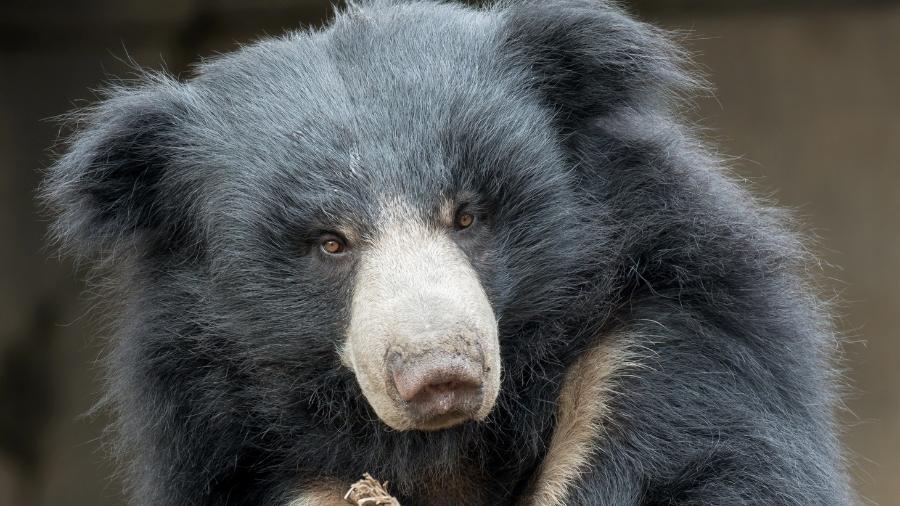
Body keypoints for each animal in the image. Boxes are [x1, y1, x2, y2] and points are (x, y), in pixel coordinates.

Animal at [44, 0, 856, 506]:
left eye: (467, 215)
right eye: (330, 242)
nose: (440, 373)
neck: (448, 449)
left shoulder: (655, 360)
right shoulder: (244, 458)